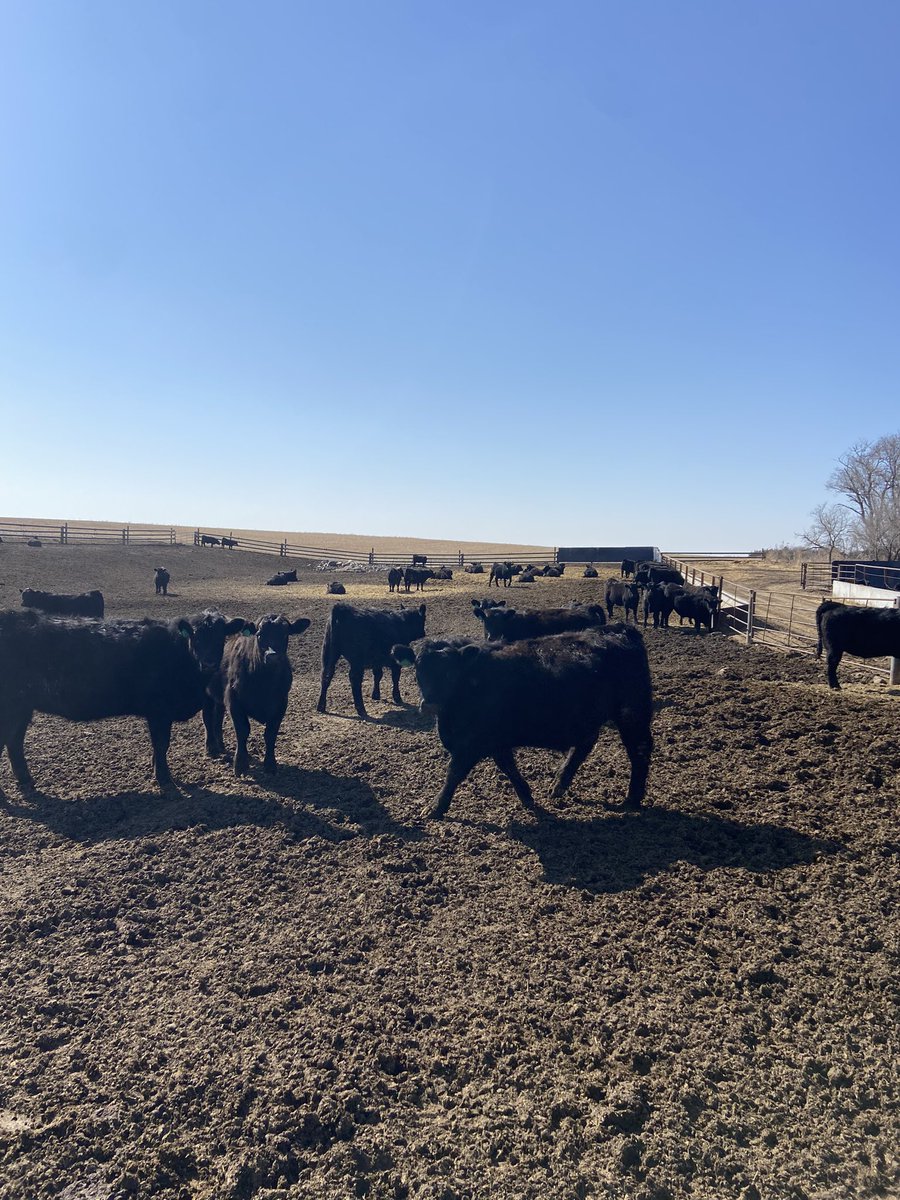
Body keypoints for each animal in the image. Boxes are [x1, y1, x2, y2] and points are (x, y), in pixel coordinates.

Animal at [0, 608, 250, 793]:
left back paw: (25, 780)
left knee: (14, 742)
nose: (208, 663)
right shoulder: (159, 711)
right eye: (195, 636)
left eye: (220, 635)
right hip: (11, 707)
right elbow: (161, 743)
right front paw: (164, 777)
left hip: (22, 708)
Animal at [204, 614, 311, 775]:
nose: (272, 656)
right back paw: (211, 747)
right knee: (207, 718)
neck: (264, 684)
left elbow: (271, 734)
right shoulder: (234, 700)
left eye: (285, 634)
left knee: (218, 717)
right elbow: (242, 730)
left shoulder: (281, 704)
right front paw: (241, 764)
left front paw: (270, 764)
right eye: (260, 635)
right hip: (206, 694)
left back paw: (220, 745)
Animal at [391, 626, 653, 818]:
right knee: (584, 745)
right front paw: (526, 795)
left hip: (633, 712)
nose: (430, 704)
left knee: (640, 750)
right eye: (418, 668)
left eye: (450, 671)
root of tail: (618, 630)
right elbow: (507, 766)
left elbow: (453, 773)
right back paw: (558, 785)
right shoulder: (494, 740)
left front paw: (435, 808)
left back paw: (631, 800)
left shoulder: (471, 743)